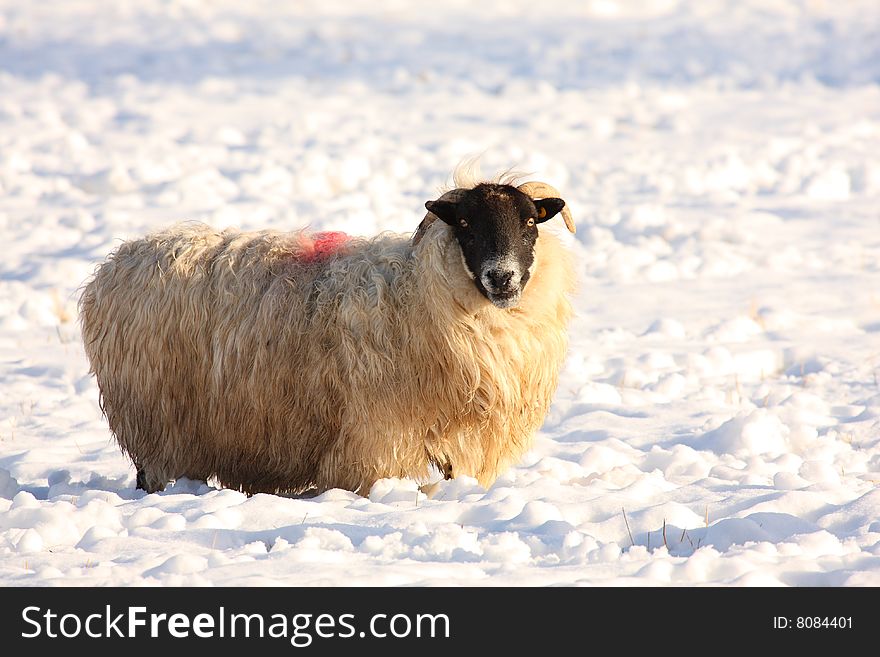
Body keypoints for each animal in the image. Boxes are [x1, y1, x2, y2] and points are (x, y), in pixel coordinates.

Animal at [79, 169, 576, 492]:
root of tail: (118, 261)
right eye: (466, 225)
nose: (502, 277)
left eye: (529, 222)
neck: (418, 291)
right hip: (158, 420)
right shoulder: (376, 435)